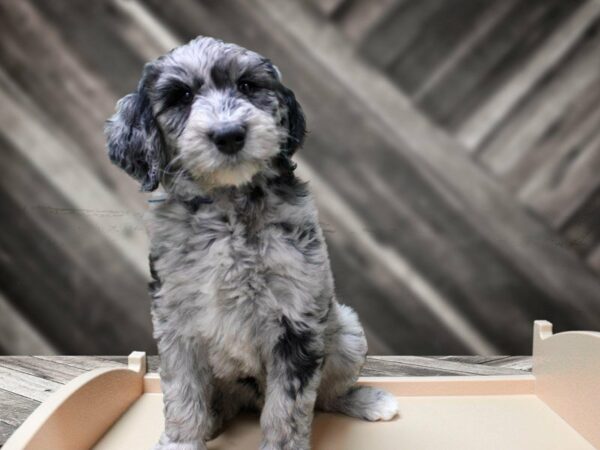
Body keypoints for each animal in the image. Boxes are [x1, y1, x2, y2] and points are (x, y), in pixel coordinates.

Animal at [106, 36, 400, 450]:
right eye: (181, 96)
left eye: (246, 86)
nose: (229, 134)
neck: (230, 211)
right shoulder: (176, 321)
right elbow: (182, 395)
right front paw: (182, 441)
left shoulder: (297, 321)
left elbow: (287, 410)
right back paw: (214, 419)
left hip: (346, 332)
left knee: (327, 395)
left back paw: (369, 400)